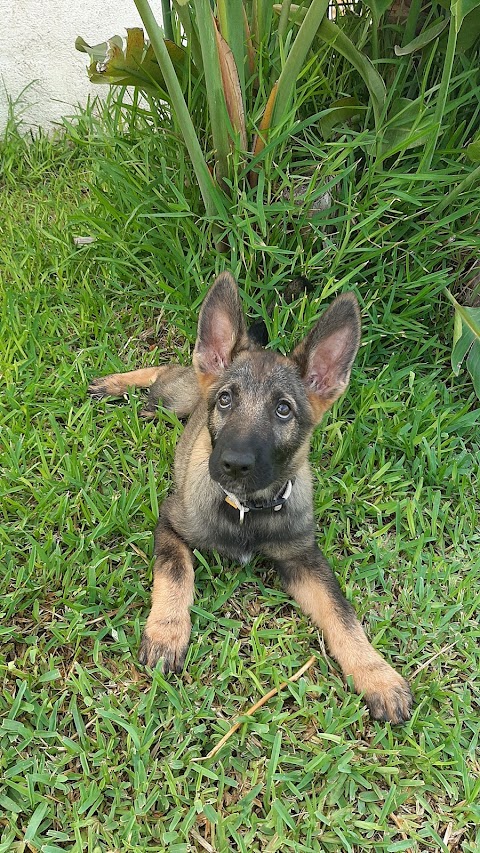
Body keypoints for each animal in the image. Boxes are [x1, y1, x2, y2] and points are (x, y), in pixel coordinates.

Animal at [90, 274, 412, 724]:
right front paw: (167, 633)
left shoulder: (303, 558)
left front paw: (376, 674)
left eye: (283, 410)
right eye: (226, 399)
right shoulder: (170, 522)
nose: (233, 464)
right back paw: (116, 383)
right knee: (164, 374)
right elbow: (175, 574)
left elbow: (343, 615)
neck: (247, 508)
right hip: (174, 402)